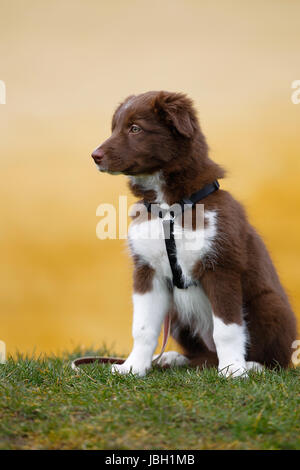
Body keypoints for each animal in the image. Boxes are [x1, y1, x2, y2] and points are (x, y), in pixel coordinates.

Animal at [90, 91, 296, 378]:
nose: (94, 156)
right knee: (204, 356)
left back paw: (252, 365)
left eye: (135, 128)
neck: (169, 207)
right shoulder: (147, 269)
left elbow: (227, 329)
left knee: (276, 359)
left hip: (269, 305)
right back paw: (174, 358)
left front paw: (233, 370)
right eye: (115, 128)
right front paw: (132, 367)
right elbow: (142, 328)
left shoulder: (221, 266)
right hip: (177, 314)